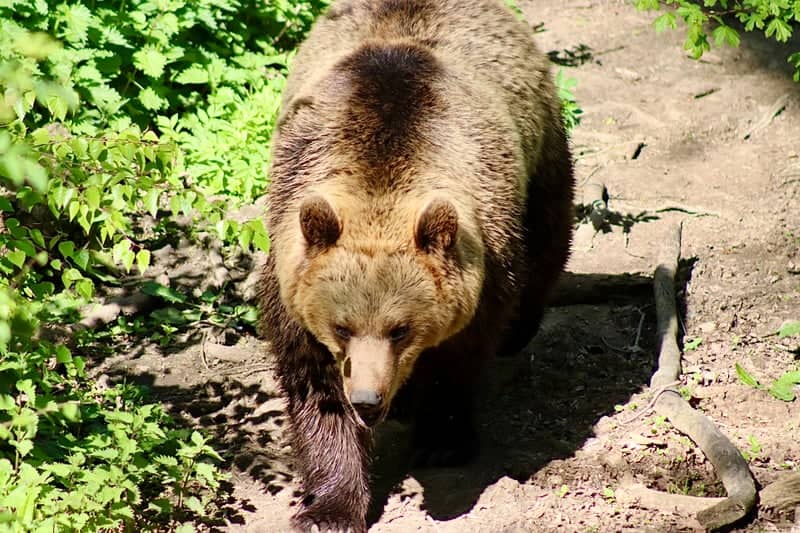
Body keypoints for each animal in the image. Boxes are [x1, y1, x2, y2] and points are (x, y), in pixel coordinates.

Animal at [257, 0, 575, 531]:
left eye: (400, 329)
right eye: (342, 328)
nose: (368, 400)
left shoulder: (486, 260)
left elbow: (460, 356)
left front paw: (442, 440)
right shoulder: (293, 278)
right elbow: (316, 388)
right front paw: (330, 507)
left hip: (543, 145)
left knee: (549, 233)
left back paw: (520, 329)